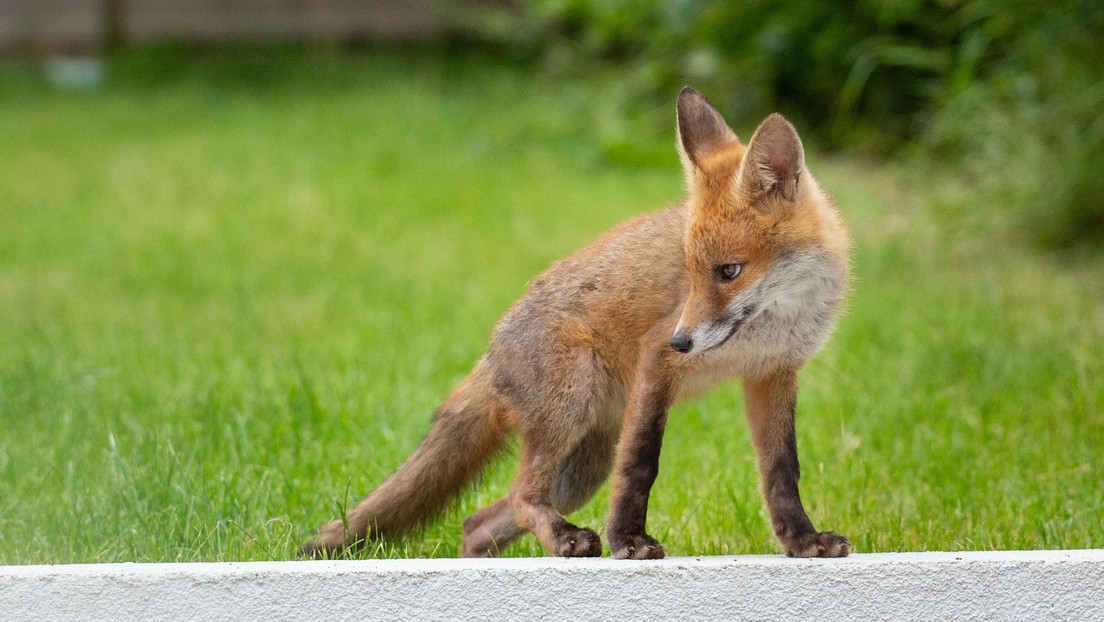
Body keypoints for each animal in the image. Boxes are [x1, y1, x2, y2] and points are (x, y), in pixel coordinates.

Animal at [302, 86, 852, 559]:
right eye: (691, 273)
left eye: (729, 271)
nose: (683, 341)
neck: (777, 318)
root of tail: (490, 353)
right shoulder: (656, 359)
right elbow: (641, 464)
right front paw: (628, 540)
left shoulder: (772, 374)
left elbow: (782, 471)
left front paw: (802, 540)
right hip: (573, 401)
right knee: (521, 496)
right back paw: (566, 538)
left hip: (583, 467)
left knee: (477, 521)